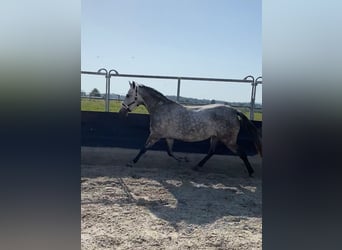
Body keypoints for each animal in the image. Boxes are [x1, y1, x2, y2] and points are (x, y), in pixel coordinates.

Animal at [119, 81, 264, 177]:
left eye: (127, 95)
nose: (121, 112)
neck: (160, 108)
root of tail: (234, 111)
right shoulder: (168, 137)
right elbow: (170, 152)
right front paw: (182, 160)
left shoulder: (155, 135)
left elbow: (143, 149)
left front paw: (131, 162)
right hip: (215, 137)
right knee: (211, 152)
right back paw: (197, 166)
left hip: (229, 140)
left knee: (242, 153)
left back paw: (251, 172)